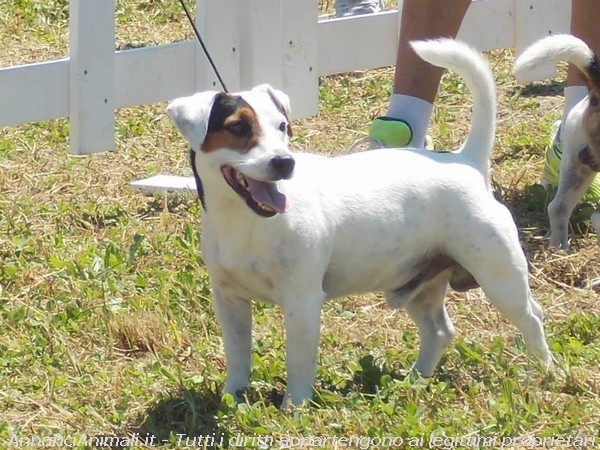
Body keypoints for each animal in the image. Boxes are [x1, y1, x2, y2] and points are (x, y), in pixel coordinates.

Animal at [166, 39, 552, 408]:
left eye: (282, 127)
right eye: (238, 127)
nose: (285, 162)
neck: (245, 222)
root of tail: (466, 162)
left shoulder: (302, 303)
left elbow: (299, 364)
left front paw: (294, 408)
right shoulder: (229, 301)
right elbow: (238, 356)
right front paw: (233, 397)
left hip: (501, 278)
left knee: (533, 318)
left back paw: (545, 371)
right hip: (421, 285)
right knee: (439, 332)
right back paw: (414, 380)